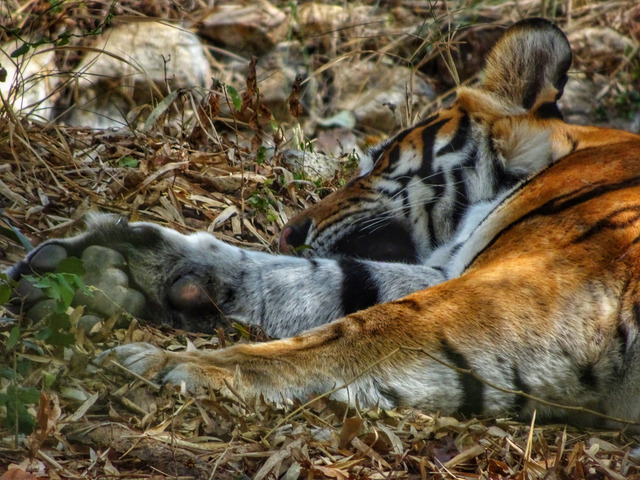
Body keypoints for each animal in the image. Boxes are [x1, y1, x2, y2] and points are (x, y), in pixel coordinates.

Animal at [7, 17, 640, 428]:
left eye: (381, 159)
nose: (289, 230)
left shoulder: (542, 284)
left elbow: (367, 327)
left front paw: (172, 364)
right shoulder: (468, 267)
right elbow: (325, 280)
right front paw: (108, 264)